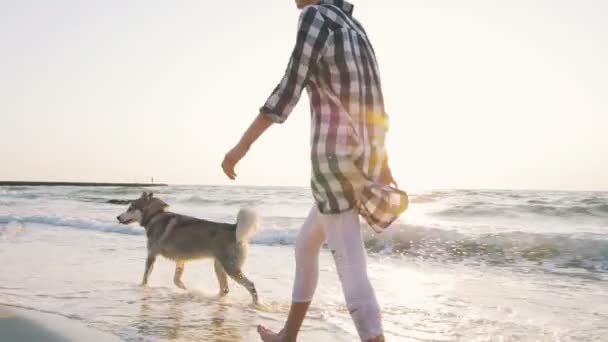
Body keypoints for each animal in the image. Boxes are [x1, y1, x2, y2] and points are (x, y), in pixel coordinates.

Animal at [117, 192, 258, 302]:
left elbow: (145, 277)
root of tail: (234, 228)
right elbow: (176, 279)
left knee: (251, 285)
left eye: (130, 208)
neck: (155, 215)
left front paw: (143, 287)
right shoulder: (180, 259)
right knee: (225, 289)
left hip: (230, 268)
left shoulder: (151, 255)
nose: (117, 217)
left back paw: (256, 303)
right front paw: (183, 287)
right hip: (219, 267)